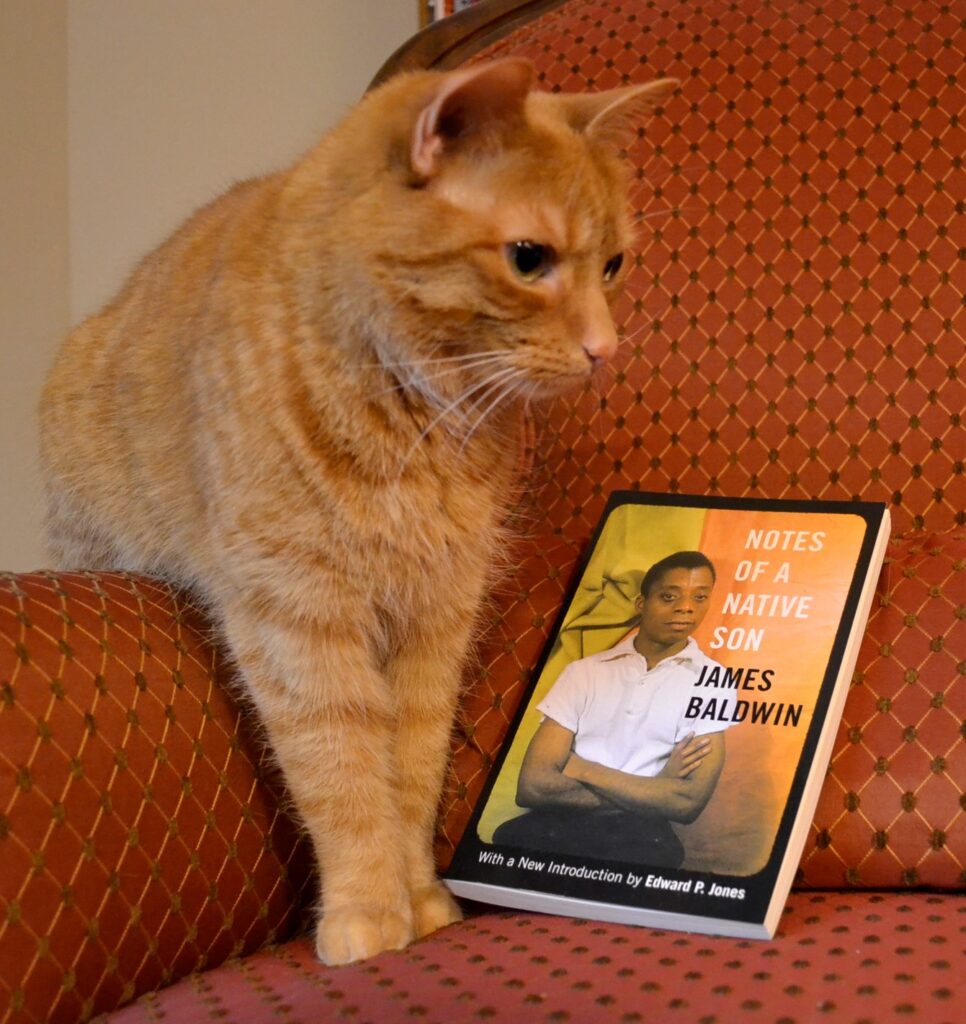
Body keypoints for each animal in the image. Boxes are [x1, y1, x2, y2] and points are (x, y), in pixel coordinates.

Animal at [41, 59, 676, 962]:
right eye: (529, 259)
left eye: (614, 264)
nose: (605, 348)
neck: (416, 422)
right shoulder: (298, 620)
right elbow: (340, 774)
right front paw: (369, 912)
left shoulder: (435, 626)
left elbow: (408, 775)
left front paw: (419, 900)